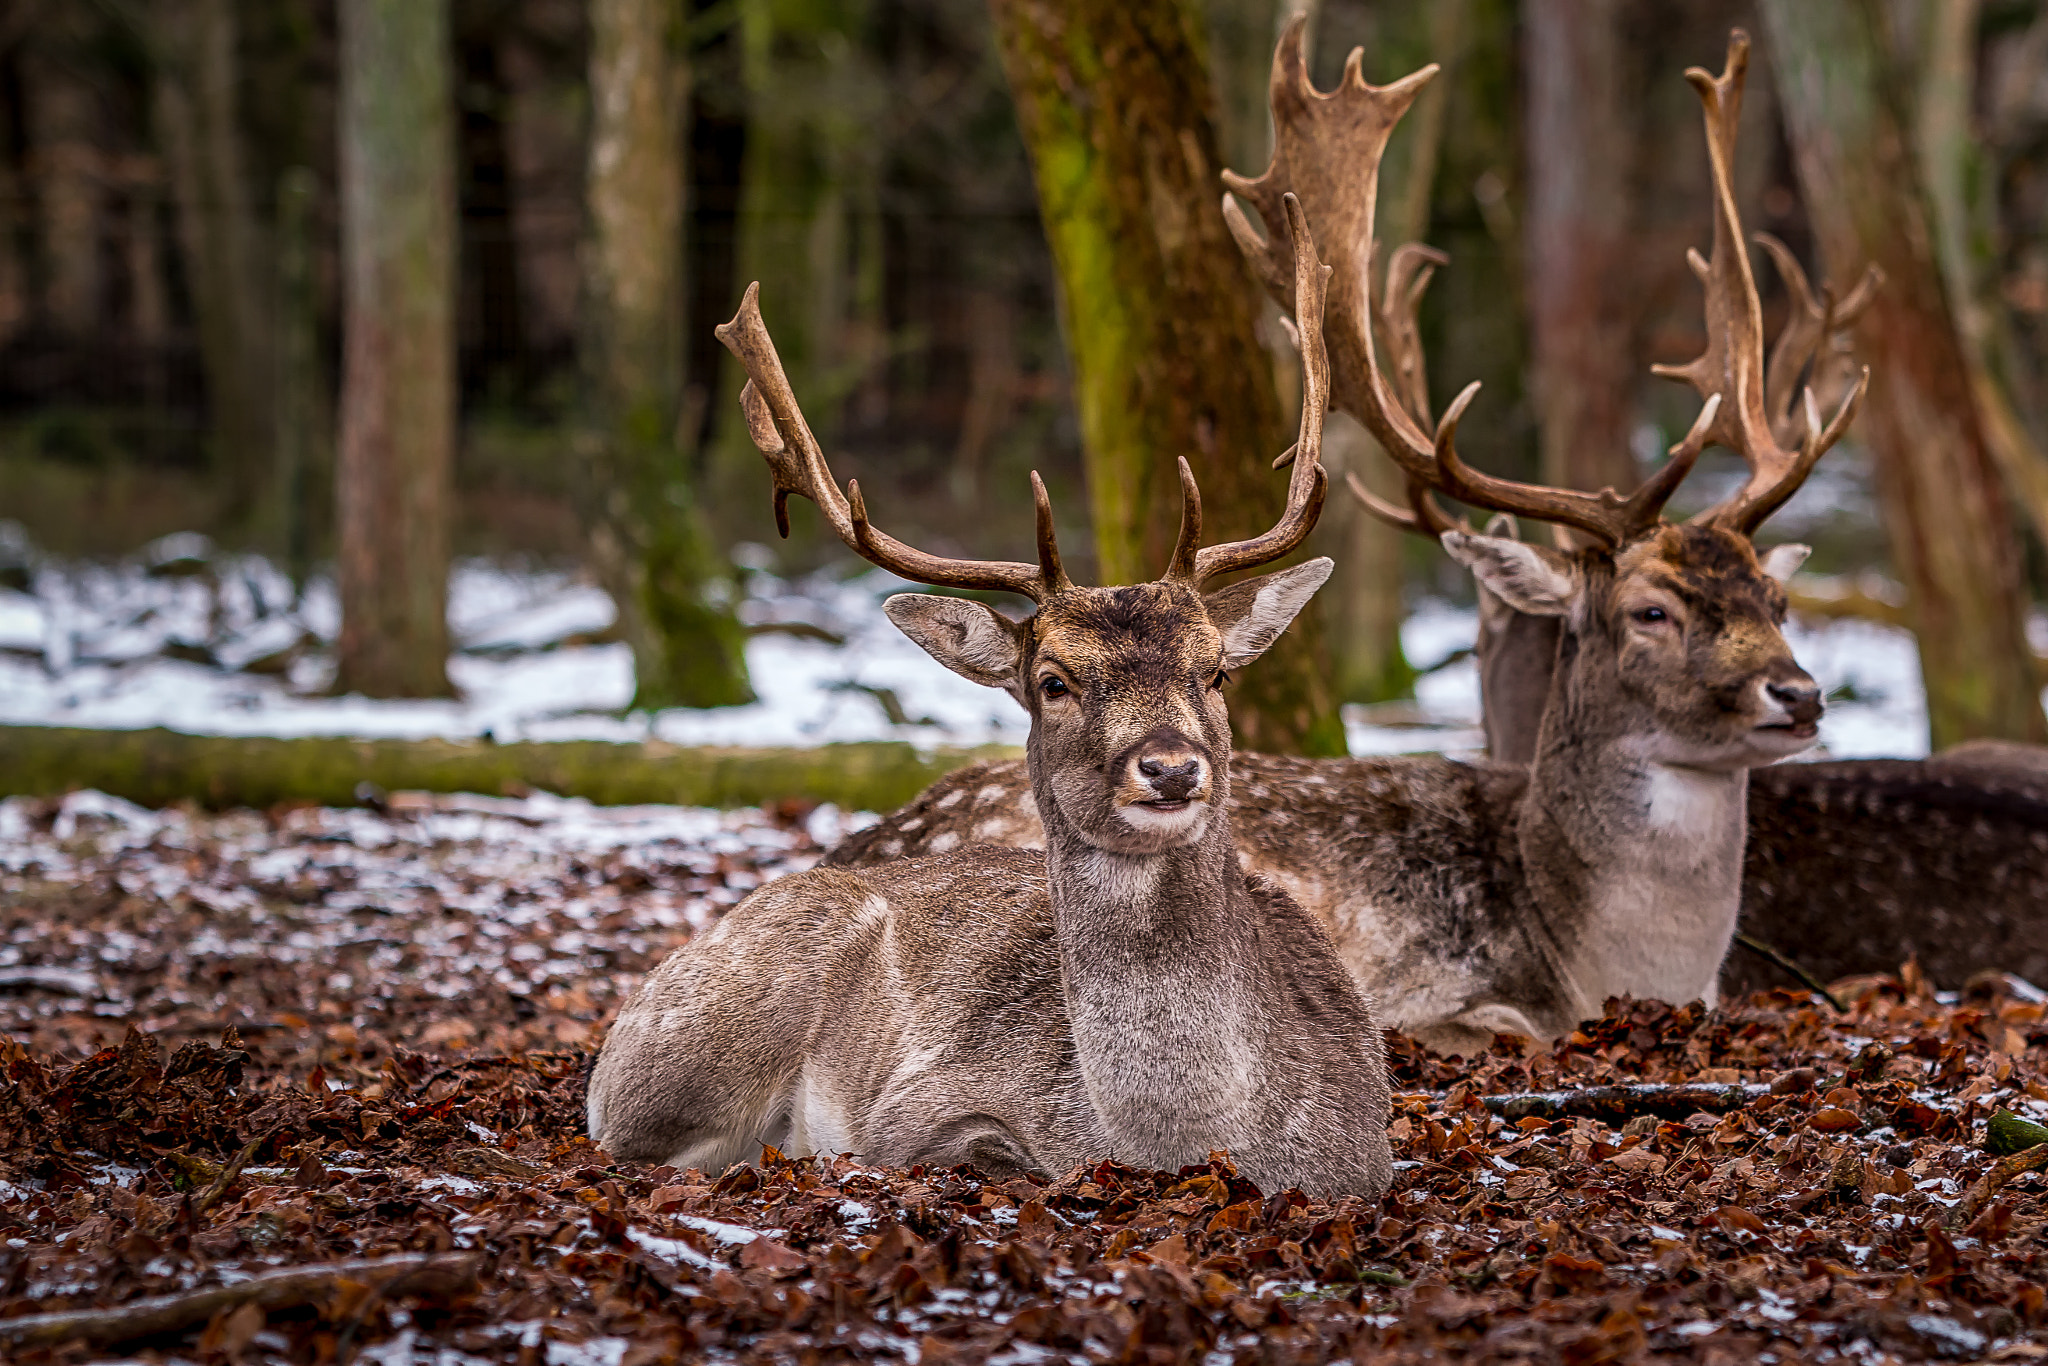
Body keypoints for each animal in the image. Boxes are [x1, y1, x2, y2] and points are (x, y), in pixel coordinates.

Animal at [587, 199, 1394, 1197]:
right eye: (1052, 681)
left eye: (1215, 670)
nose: (1170, 768)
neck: (1196, 1138)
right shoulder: (919, 1111)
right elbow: (979, 1152)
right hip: (691, 1045)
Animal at [824, 29, 1889, 1055]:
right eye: (1651, 611)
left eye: (1777, 600)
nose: (1798, 693)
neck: (1595, 953)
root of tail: (860, 845)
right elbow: (1491, 1025)